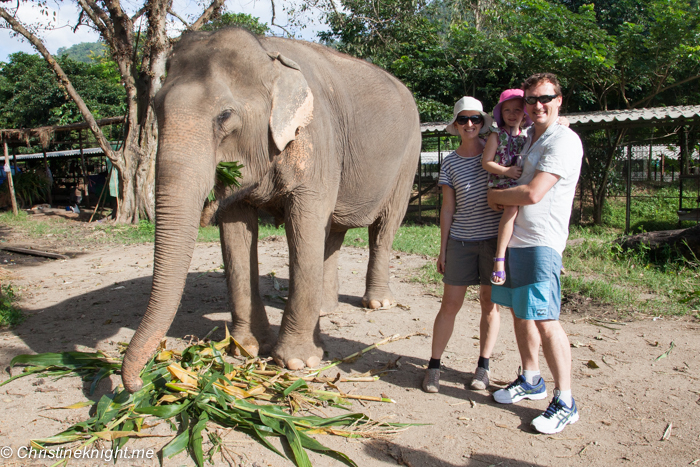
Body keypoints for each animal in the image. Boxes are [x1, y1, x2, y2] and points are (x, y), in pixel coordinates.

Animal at [120, 27, 422, 394]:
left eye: (225, 115)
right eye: (156, 108)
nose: (137, 383)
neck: (267, 54)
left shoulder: (316, 140)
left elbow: (305, 225)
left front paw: (297, 362)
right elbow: (236, 232)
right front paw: (246, 349)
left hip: (409, 157)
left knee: (384, 227)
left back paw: (377, 303)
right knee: (333, 232)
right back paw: (325, 309)